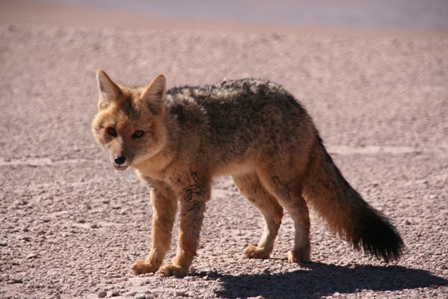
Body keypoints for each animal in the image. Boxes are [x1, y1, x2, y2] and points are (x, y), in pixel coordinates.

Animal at [91, 70, 402, 278]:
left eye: (138, 134)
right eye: (112, 132)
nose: (119, 159)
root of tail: (295, 101)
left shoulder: (194, 191)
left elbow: (185, 236)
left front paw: (179, 267)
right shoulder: (161, 192)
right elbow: (160, 235)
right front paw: (152, 264)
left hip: (279, 183)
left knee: (301, 211)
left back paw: (301, 253)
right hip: (248, 184)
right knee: (276, 213)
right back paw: (263, 251)